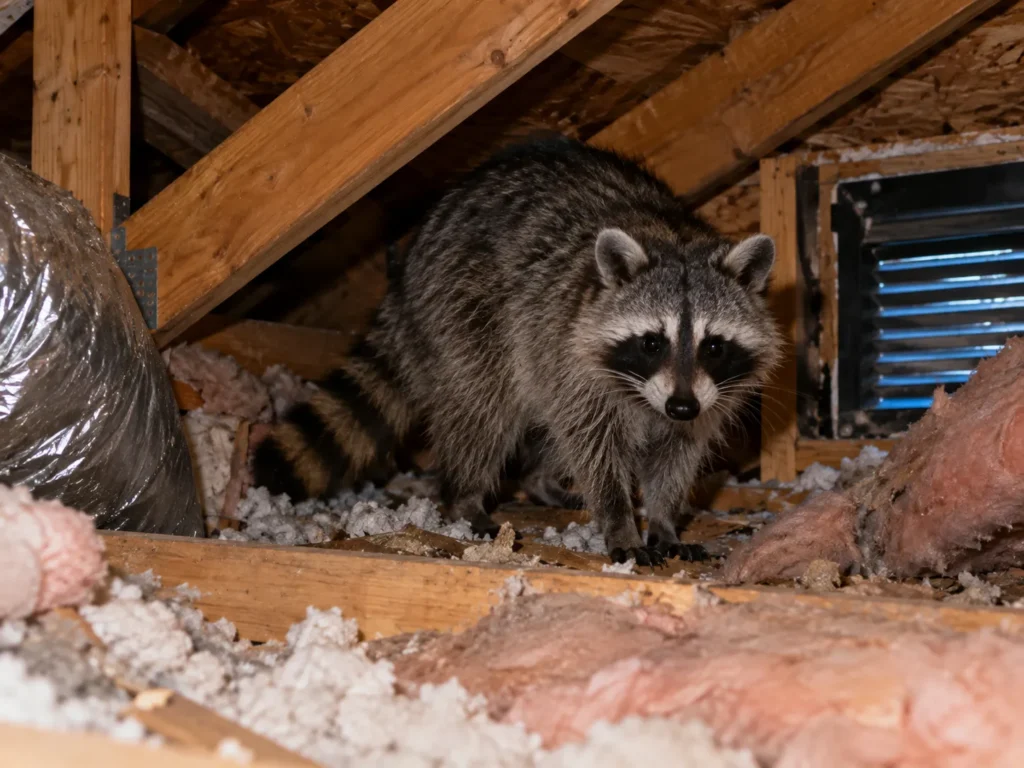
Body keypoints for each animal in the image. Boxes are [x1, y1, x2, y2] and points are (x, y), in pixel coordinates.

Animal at [254, 136, 782, 564]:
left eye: (713, 345)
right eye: (653, 342)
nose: (681, 406)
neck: (675, 237)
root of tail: (406, 274)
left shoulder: (701, 395)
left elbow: (677, 452)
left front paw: (665, 519)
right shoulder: (577, 356)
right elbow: (594, 445)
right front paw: (619, 518)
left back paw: (540, 479)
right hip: (464, 310)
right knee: (483, 407)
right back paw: (466, 494)